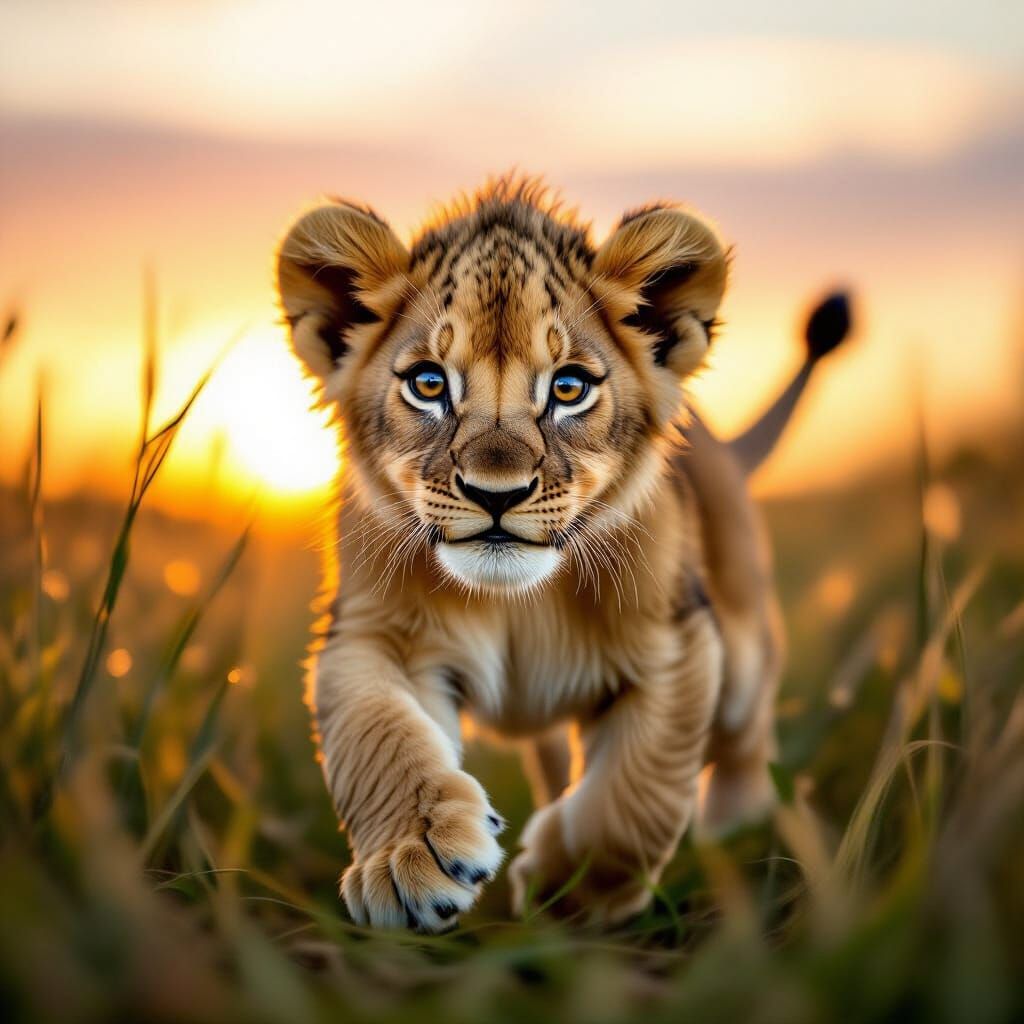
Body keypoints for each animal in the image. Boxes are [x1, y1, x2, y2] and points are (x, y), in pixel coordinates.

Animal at [275, 177, 849, 932]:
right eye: (428, 384)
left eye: (569, 388)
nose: (496, 493)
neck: (517, 604)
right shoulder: (367, 634)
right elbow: (376, 735)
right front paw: (411, 860)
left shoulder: (677, 645)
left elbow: (632, 802)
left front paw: (566, 891)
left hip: (744, 645)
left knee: (747, 738)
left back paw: (738, 826)